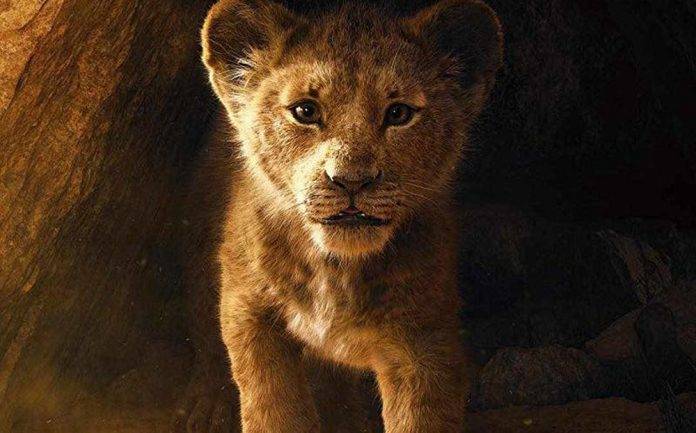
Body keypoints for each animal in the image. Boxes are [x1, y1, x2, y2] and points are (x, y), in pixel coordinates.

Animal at [179, 0, 503, 432]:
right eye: (305, 111)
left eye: (399, 113)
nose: (351, 180)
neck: (336, 268)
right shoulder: (248, 310)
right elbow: (273, 406)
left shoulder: (426, 338)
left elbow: (421, 416)